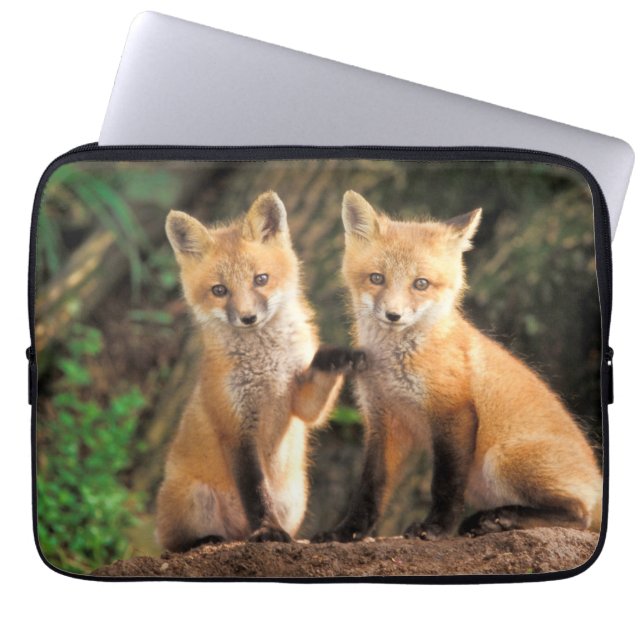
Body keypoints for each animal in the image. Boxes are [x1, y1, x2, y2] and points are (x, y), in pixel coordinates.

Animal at [156, 191, 365, 551]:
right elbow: (255, 493)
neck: (266, 366)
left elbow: (316, 389)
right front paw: (267, 530)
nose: (248, 318)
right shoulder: (236, 428)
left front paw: (338, 356)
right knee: (174, 544)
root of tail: (237, 534)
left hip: (295, 500)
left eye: (261, 279)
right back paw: (208, 540)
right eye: (219, 290)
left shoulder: (300, 403)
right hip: (195, 498)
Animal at [313, 190, 602, 543]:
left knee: (579, 515)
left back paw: (500, 519)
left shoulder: (453, 411)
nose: (393, 315)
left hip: (500, 458)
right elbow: (371, 486)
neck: (394, 365)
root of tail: (599, 482)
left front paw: (435, 528)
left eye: (421, 284)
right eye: (376, 278)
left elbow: (446, 484)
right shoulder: (383, 420)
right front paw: (348, 532)